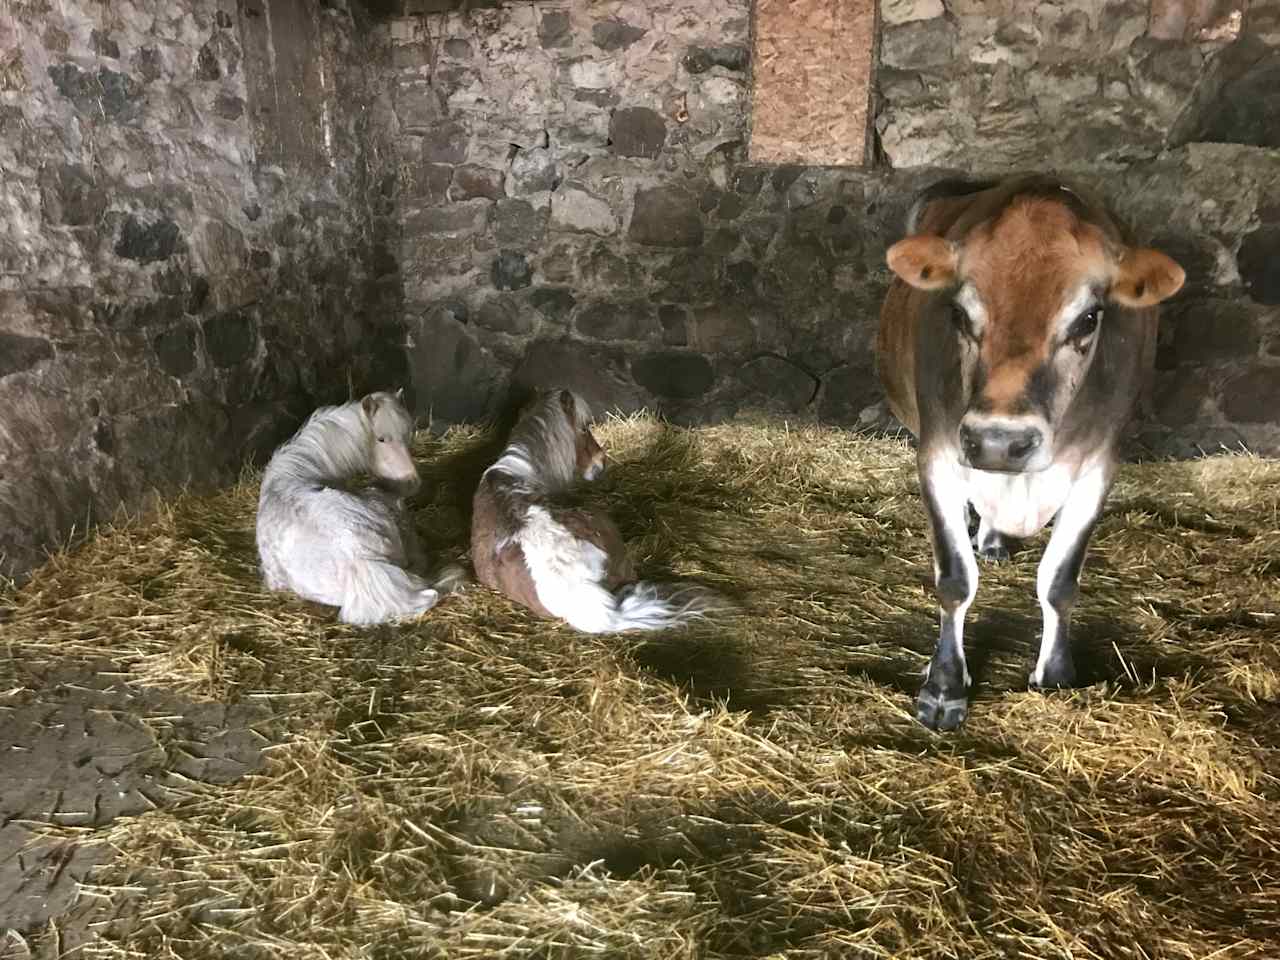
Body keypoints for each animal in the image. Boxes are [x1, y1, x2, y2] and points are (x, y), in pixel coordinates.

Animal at [880, 175, 1177, 727]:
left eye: (1088, 319)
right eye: (959, 313)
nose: (1000, 440)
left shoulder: (1098, 468)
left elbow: (1059, 581)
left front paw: (1056, 676)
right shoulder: (937, 455)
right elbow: (954, 579)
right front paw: (944, 686)